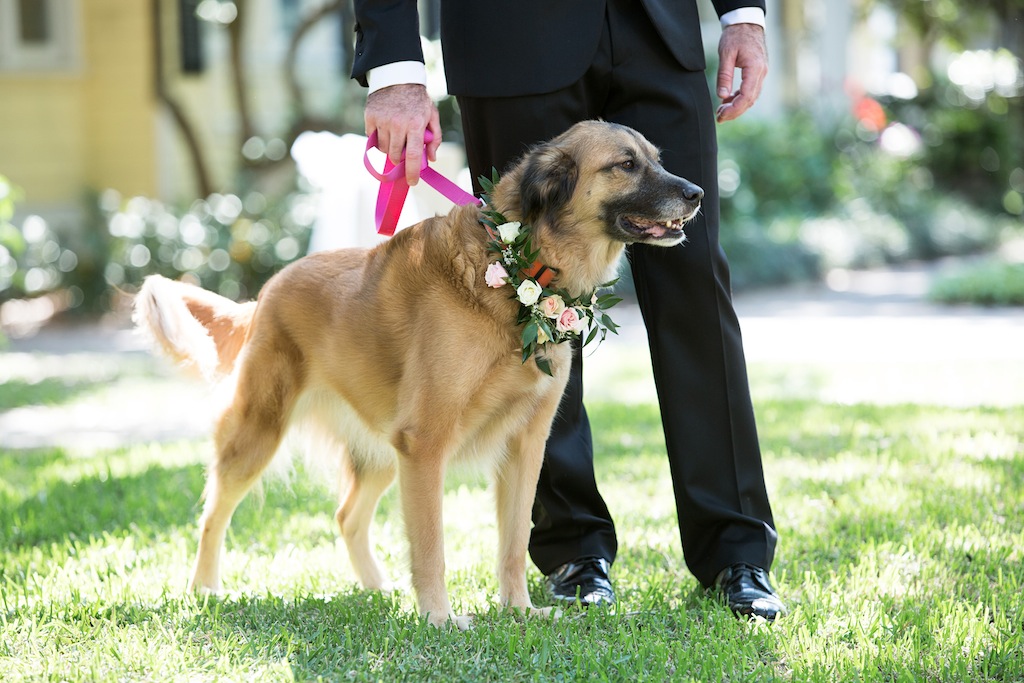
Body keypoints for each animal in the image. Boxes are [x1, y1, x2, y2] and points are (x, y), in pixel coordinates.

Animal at [132, 120, 700, 626]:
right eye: (626, 165)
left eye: (656, 159)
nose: (697, 193)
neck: (517, 272)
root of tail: (265, 293)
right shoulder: (426, 444)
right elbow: (431, 546)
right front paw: (439, 619)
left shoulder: (524, 444)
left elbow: (514, 543)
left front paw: (518, 611)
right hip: (260, 433)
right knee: (213, 514)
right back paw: (205, 589)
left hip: (383, 450)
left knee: (347, 516)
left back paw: (377, 589)